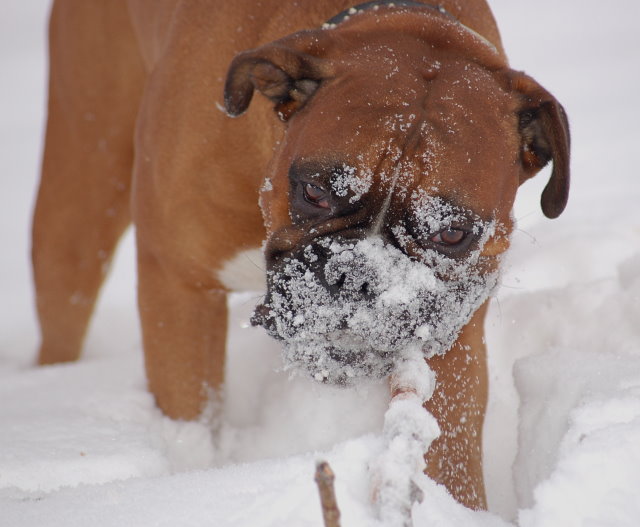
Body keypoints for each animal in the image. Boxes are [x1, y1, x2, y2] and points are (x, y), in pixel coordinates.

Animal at [32, 0, 568, 512]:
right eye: (315, 191)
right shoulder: (180, 285)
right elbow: (192, 416)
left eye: (452, 234)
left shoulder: (453, 339)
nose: (360, 275)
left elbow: (449, 447)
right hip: (81, 194)